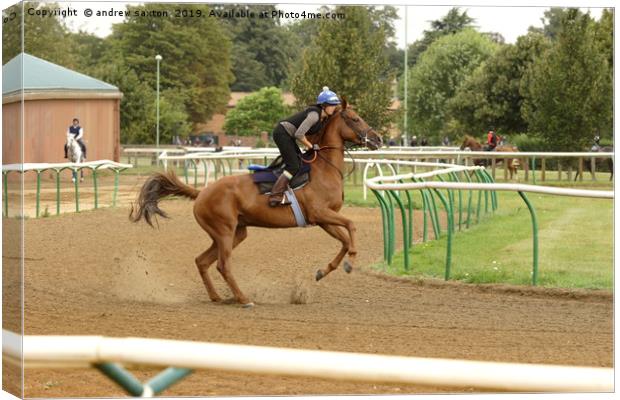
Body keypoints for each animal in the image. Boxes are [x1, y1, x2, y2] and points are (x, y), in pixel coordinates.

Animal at [130, 99, 382, 306]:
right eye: (355, 118)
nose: (378, 139)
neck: (323, 169)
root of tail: (201, 193)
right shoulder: (320, 213)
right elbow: (351, 226)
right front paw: (351, 261)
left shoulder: (323, 219)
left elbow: (344, 240)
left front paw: (323, 271)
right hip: (224, 231)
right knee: (222, 265)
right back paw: (243, 299)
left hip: (235, 233)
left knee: (202, 261)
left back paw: (217, 297)